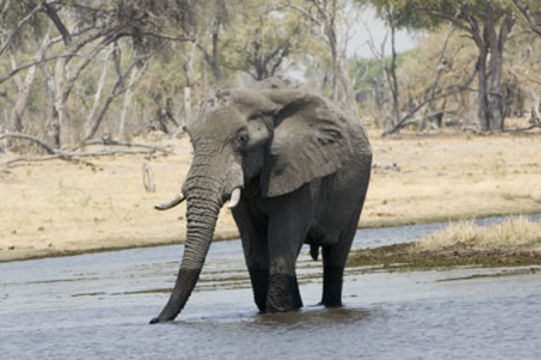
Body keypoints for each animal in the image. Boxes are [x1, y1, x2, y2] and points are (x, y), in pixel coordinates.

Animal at [151, 83, 372, 324]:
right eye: (192, 140)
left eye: (242, 138)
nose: (154, 320)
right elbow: (253, 245)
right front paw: (279, 308)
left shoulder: (301, 172)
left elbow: (283, 238)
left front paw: (279, 312)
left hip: (357, 189)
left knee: (337, 254)